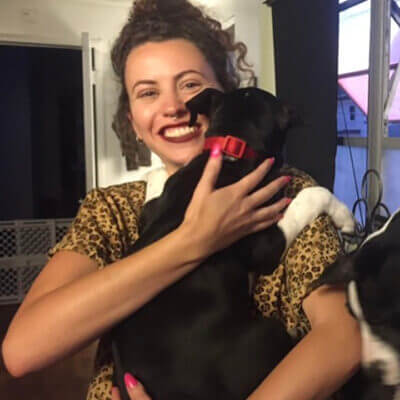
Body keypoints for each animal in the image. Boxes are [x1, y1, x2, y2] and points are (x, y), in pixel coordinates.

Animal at [111, 88, 354, 400]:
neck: (231, 151)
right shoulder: (264, 244)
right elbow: (310, 196)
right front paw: (345, 216)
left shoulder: (154, 209)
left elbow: (153, 194)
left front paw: (152, 176)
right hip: (267, 333)